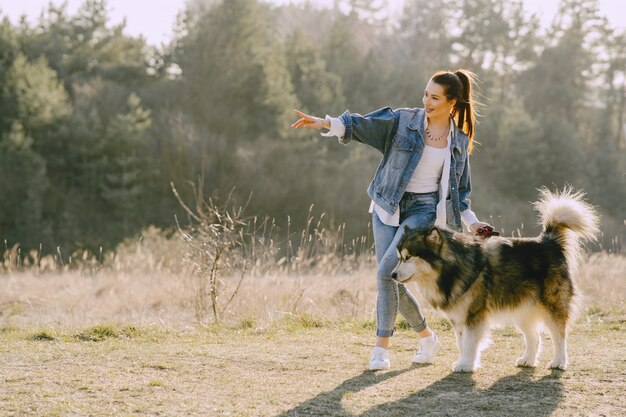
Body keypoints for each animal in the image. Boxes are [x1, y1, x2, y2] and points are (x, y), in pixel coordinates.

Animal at [388, 187, 596, 372]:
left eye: (408, 257)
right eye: (399, 257)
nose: (392, 275)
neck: (451, 268)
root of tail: (549, 241)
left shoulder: (474, 313)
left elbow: (470, 342)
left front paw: (466, 365)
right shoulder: (458, 316)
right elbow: (461, 342)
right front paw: (464, 361)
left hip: (553, 304)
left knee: (559, 336)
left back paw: (559, 362)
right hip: (523, 308)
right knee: (534, 337)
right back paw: (528, 360)